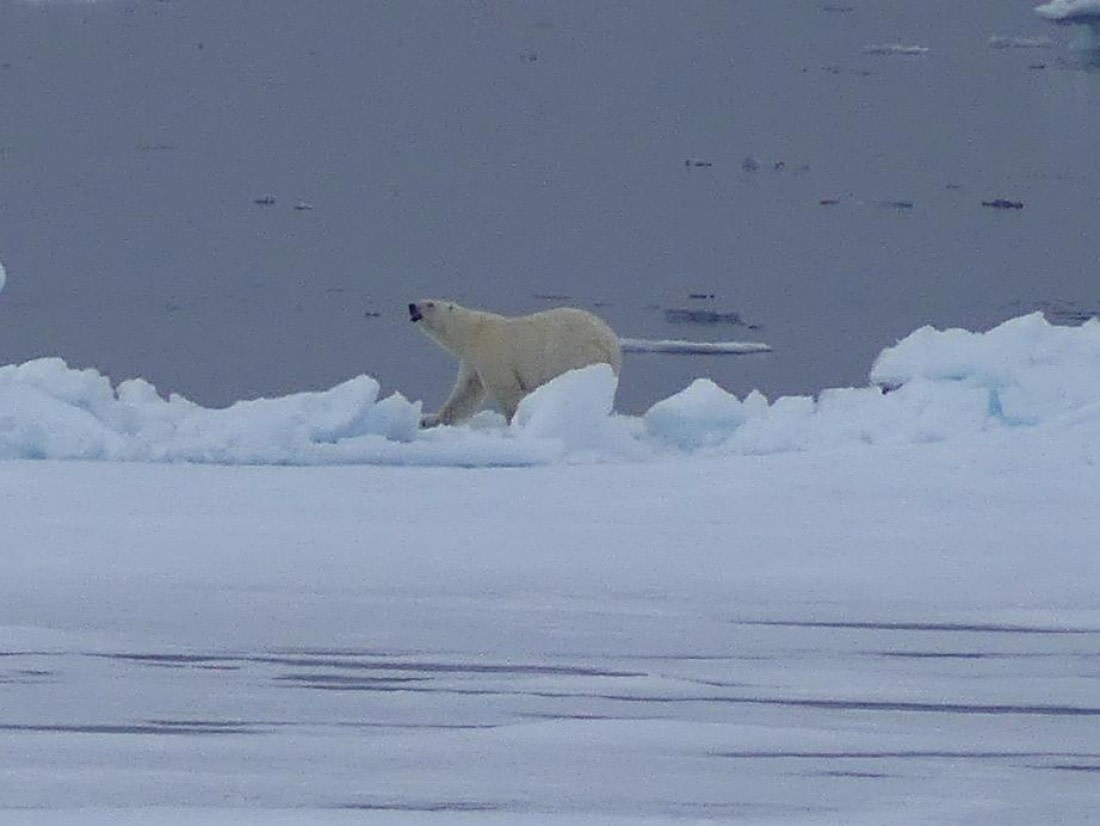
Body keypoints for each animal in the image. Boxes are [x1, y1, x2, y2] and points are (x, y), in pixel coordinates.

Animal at [408, 300, 622, 427]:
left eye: (430, 303)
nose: (411, 305)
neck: (472, 331)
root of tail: (611, 343)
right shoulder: (472, 360)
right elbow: (466, 392)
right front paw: (428, 419)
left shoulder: (491, 351)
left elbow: (506, 388)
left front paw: (515, 420)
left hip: (575, 353)